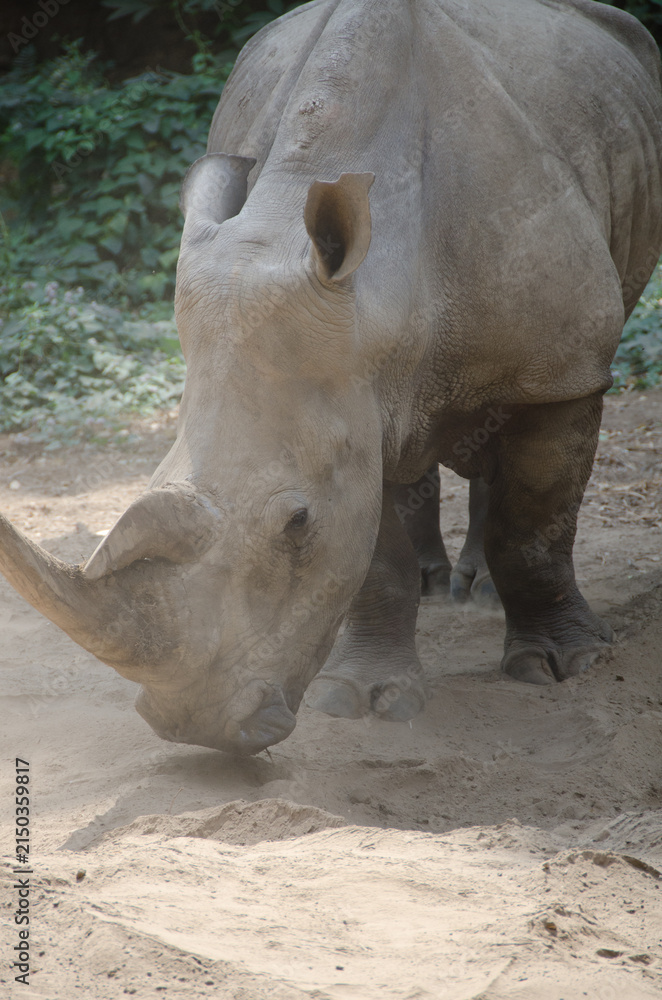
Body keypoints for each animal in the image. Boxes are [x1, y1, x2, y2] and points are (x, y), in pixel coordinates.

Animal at [1, 0, 661, 754]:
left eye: (296, 523)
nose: (194, 728)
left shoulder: (566, 366)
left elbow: (535, 527)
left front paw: (562, 665)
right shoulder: (353, 384)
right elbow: (374, 548)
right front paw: (363, 697)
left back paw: (483, 594)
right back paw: (438, 585)